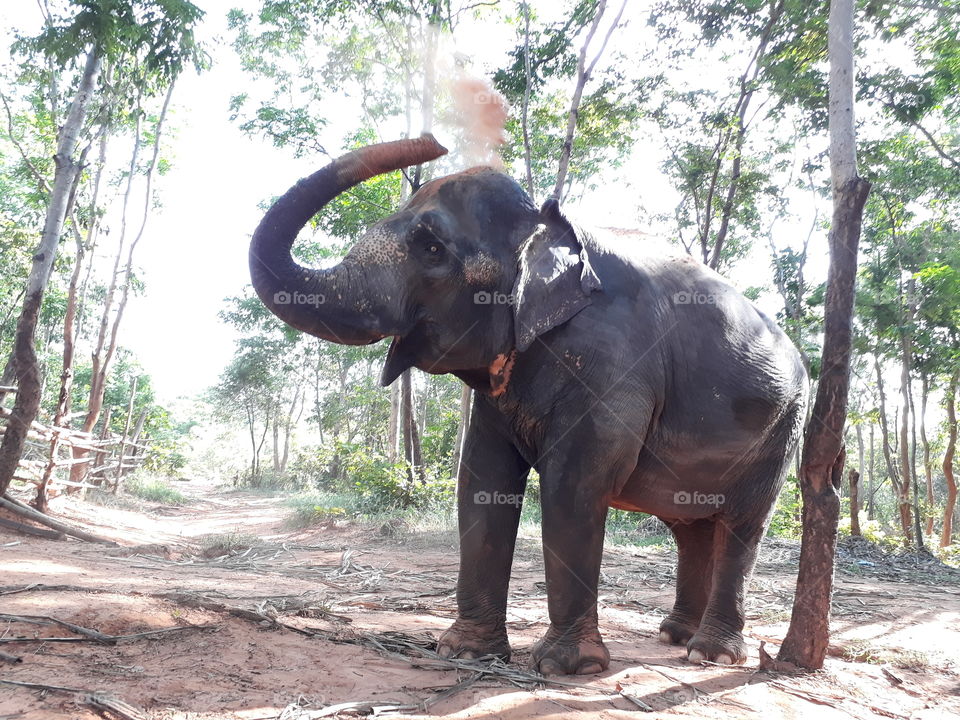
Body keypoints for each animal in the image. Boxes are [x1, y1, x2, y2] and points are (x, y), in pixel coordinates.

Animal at [249, 134, 808, 675]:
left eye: (431, 247)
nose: (433, 141)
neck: (548, 225)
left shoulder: (614, 362)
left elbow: (573, 485)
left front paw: (567, 666)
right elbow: (482, 479)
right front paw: (465, 653)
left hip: (783, 428)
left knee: (743, 524)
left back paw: (710, 654)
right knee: (690, 527)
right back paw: (676, 637)